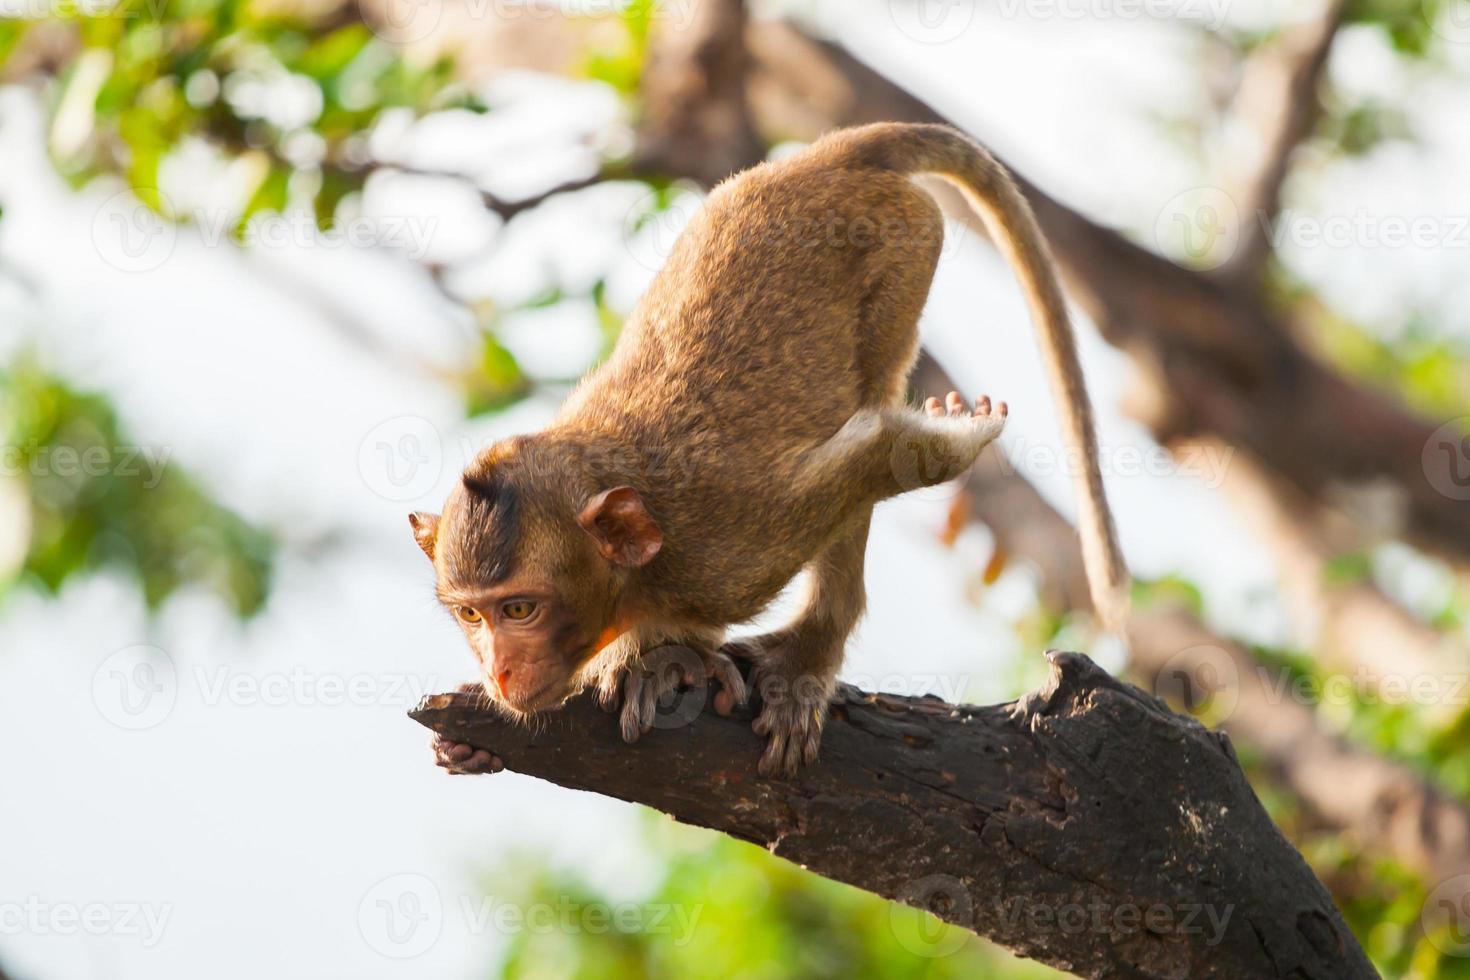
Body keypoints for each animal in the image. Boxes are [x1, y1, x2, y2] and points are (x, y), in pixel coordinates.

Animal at [414, 122, 1123, 775]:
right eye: (473, 616)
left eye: (520, 609)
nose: (500, 674)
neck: (638, 577)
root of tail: (824, 158)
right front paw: (651, 660)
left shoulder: (729, 556)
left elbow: (880, 448)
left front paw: (953, 442)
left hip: (907, 243)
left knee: (872, 390)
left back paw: (811, 650)